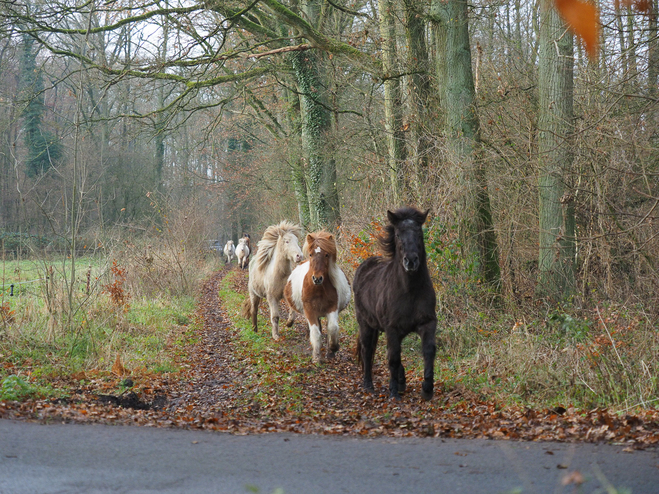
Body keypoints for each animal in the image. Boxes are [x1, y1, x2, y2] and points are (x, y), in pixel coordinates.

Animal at [286, 232, 354, 362]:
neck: (318, 289)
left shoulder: (332, 308)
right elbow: (316, 333)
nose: (317, 278)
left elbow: (332, 328)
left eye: (326, 255)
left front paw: (333, 348)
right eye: (311, 254)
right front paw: (317, 357)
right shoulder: (309, 311)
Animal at [356, 206, 438, 400]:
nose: (411, 261)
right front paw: (393, 392)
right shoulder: (392, 328)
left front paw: (427, 388)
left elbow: (428, 350)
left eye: (419, 233)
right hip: (365, 324)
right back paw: (368, 385)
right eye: (399, 235)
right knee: (367, 351)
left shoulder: (427, 323)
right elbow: (393, 358)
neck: (409, 291)